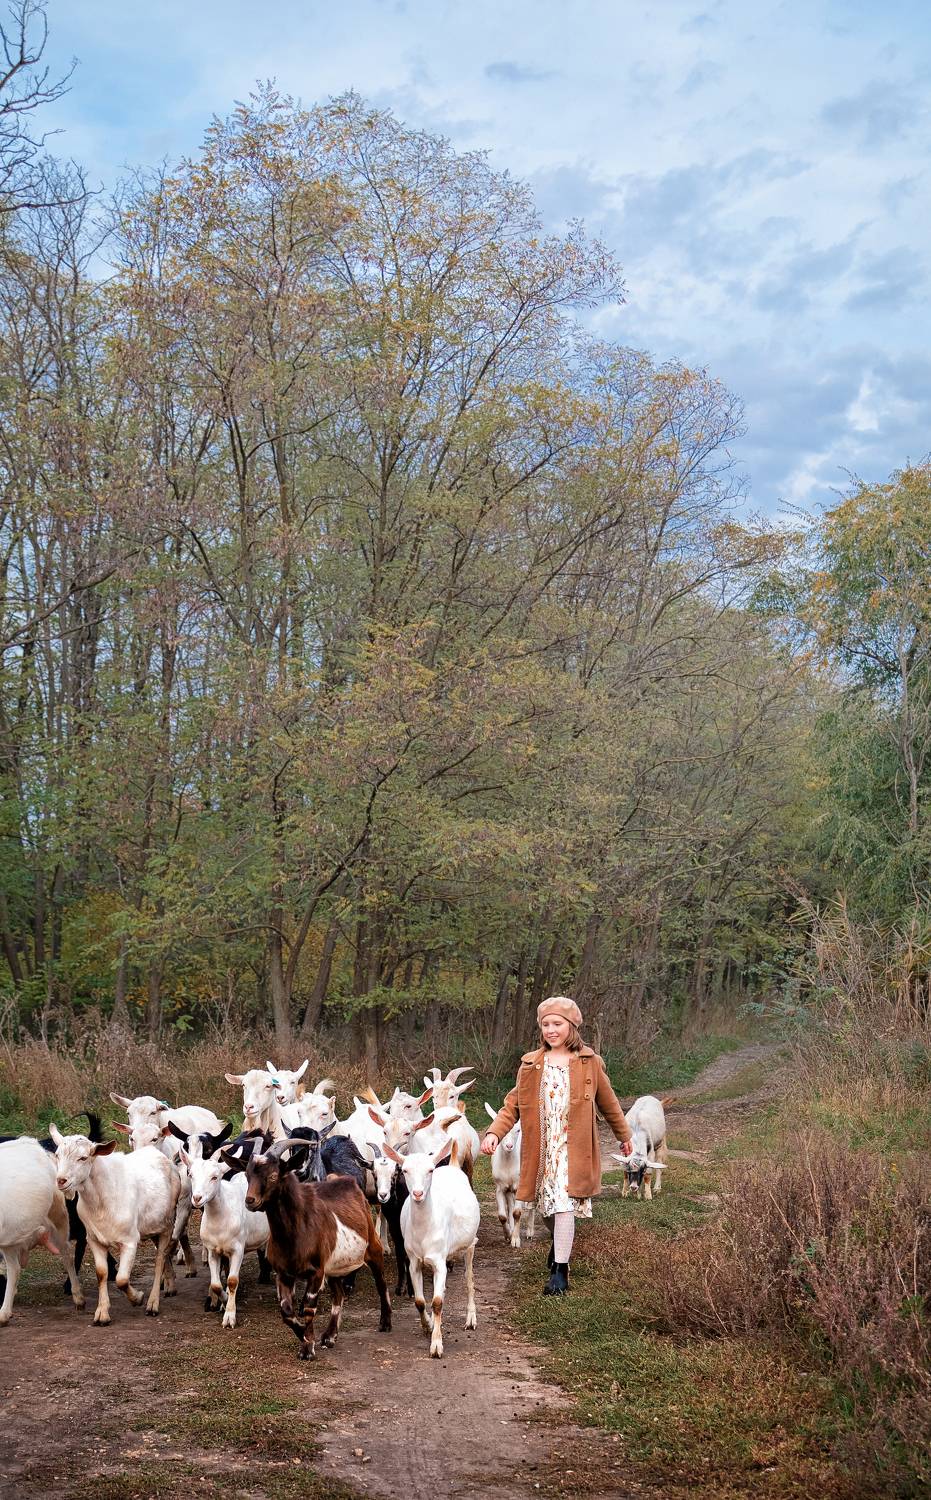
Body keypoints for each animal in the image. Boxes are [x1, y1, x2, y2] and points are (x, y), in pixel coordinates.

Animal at [0, 1138, 85, 1324]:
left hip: (58, 1215)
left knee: (67, 1254)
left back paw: (78, 1297)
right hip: (11, 1234)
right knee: (14, 1268)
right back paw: (5, 1312)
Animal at [50, 1124, 180, 1323]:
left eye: (83, 1157)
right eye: (57, 1155)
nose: (61, 1180)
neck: (101, 1199)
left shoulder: (130, 1241)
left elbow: (122, 1279)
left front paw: (137, 1298)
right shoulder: (94, 1239)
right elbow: (102, 1273)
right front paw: (102, 1313)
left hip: (167, 1225)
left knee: (159, 1259)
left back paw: (152, 1304)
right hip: (153, 1227)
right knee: (163, 1257)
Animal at [223, 1137, 391, 1361]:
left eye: (273, 1176)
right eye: (247, 1175)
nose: (250, 1201)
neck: (295, 1232)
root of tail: (348, 1182)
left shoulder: (316, 1271)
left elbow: (309, 1308)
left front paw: (308, 1348)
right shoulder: (284, 1273)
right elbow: (287, 1312)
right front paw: (305, 1337)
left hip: (372, 1247)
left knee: (381, 1284)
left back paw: (385, 1322)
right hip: (333, 1266)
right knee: (339, 1294)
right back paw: (330, 1336)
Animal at [382, 1136, 479, 1357]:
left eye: (430, 1170)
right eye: (405, 1170)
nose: (418, 1193)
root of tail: (452, 1164)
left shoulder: (439, 1261)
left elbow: (437, 1303)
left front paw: (436, 1345)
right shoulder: (413, 1261)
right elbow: (420, 1301)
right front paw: (427, 1326)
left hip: (469, 1244)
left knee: (469, 1279)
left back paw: (471, 1319)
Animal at [483, 1102, 534, 1246]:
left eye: (517, 1130)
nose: (509, 1146)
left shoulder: (519, 1186)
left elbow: (517, 1212)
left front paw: (516, 1240)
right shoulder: (500, 1188)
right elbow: (503, 1215)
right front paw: (508, 1235)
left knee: (531, 1204)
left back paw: (530, 1232)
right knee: (510, 1205)